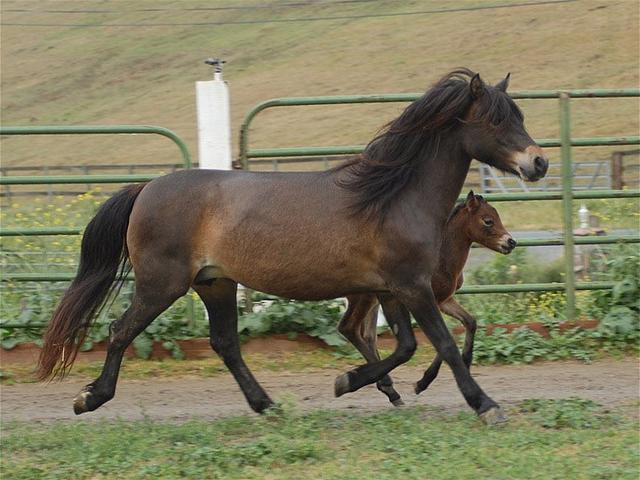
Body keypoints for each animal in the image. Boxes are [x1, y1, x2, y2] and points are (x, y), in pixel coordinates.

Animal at [338, 191, 516, 406]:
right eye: (488, 221)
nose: (511, 242)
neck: (442, 258)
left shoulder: (445, 300)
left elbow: (470, 322)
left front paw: (465, 362)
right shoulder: (427, 301)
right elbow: (443, 337)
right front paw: (423, 382)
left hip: (373, 300)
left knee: (368, 335)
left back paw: (388, 389)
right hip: (362, 298)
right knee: (349, 329)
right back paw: (380, 384)